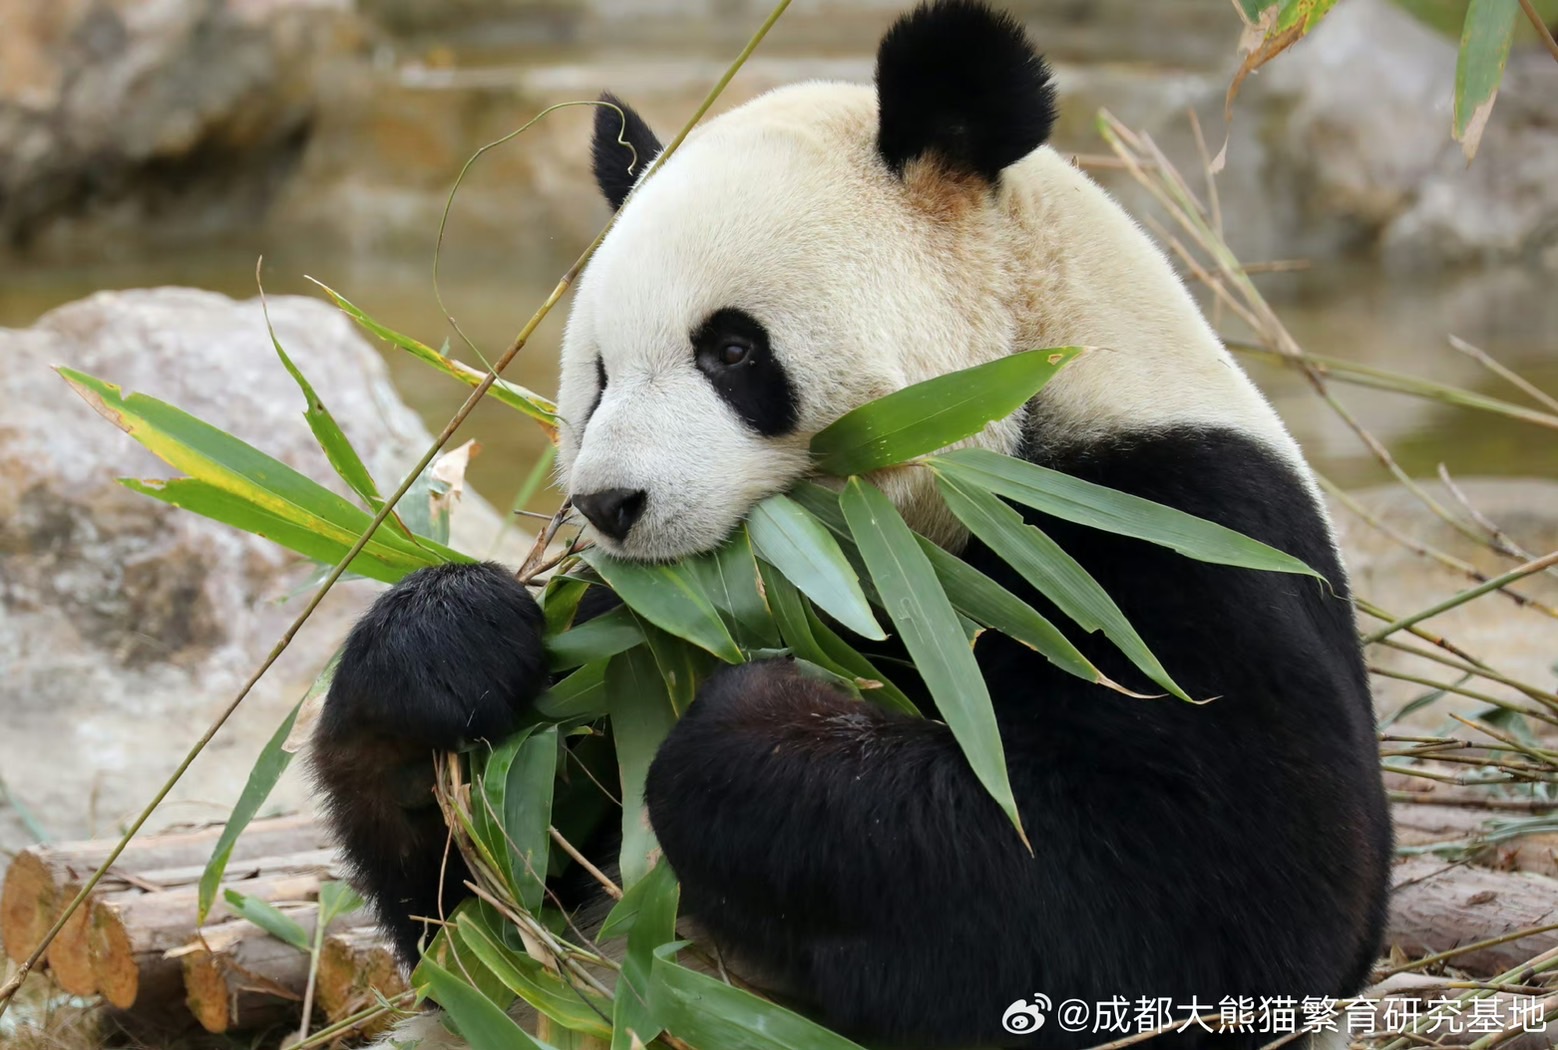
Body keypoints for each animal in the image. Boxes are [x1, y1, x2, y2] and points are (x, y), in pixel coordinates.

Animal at [310, 4, 1395, 1040]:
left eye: (732, 351)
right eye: (599, 378)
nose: (612, 504)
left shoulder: (1167, 522)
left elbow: (1204, 873)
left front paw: (755, 724)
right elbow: (490, 898)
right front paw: (450, 647)